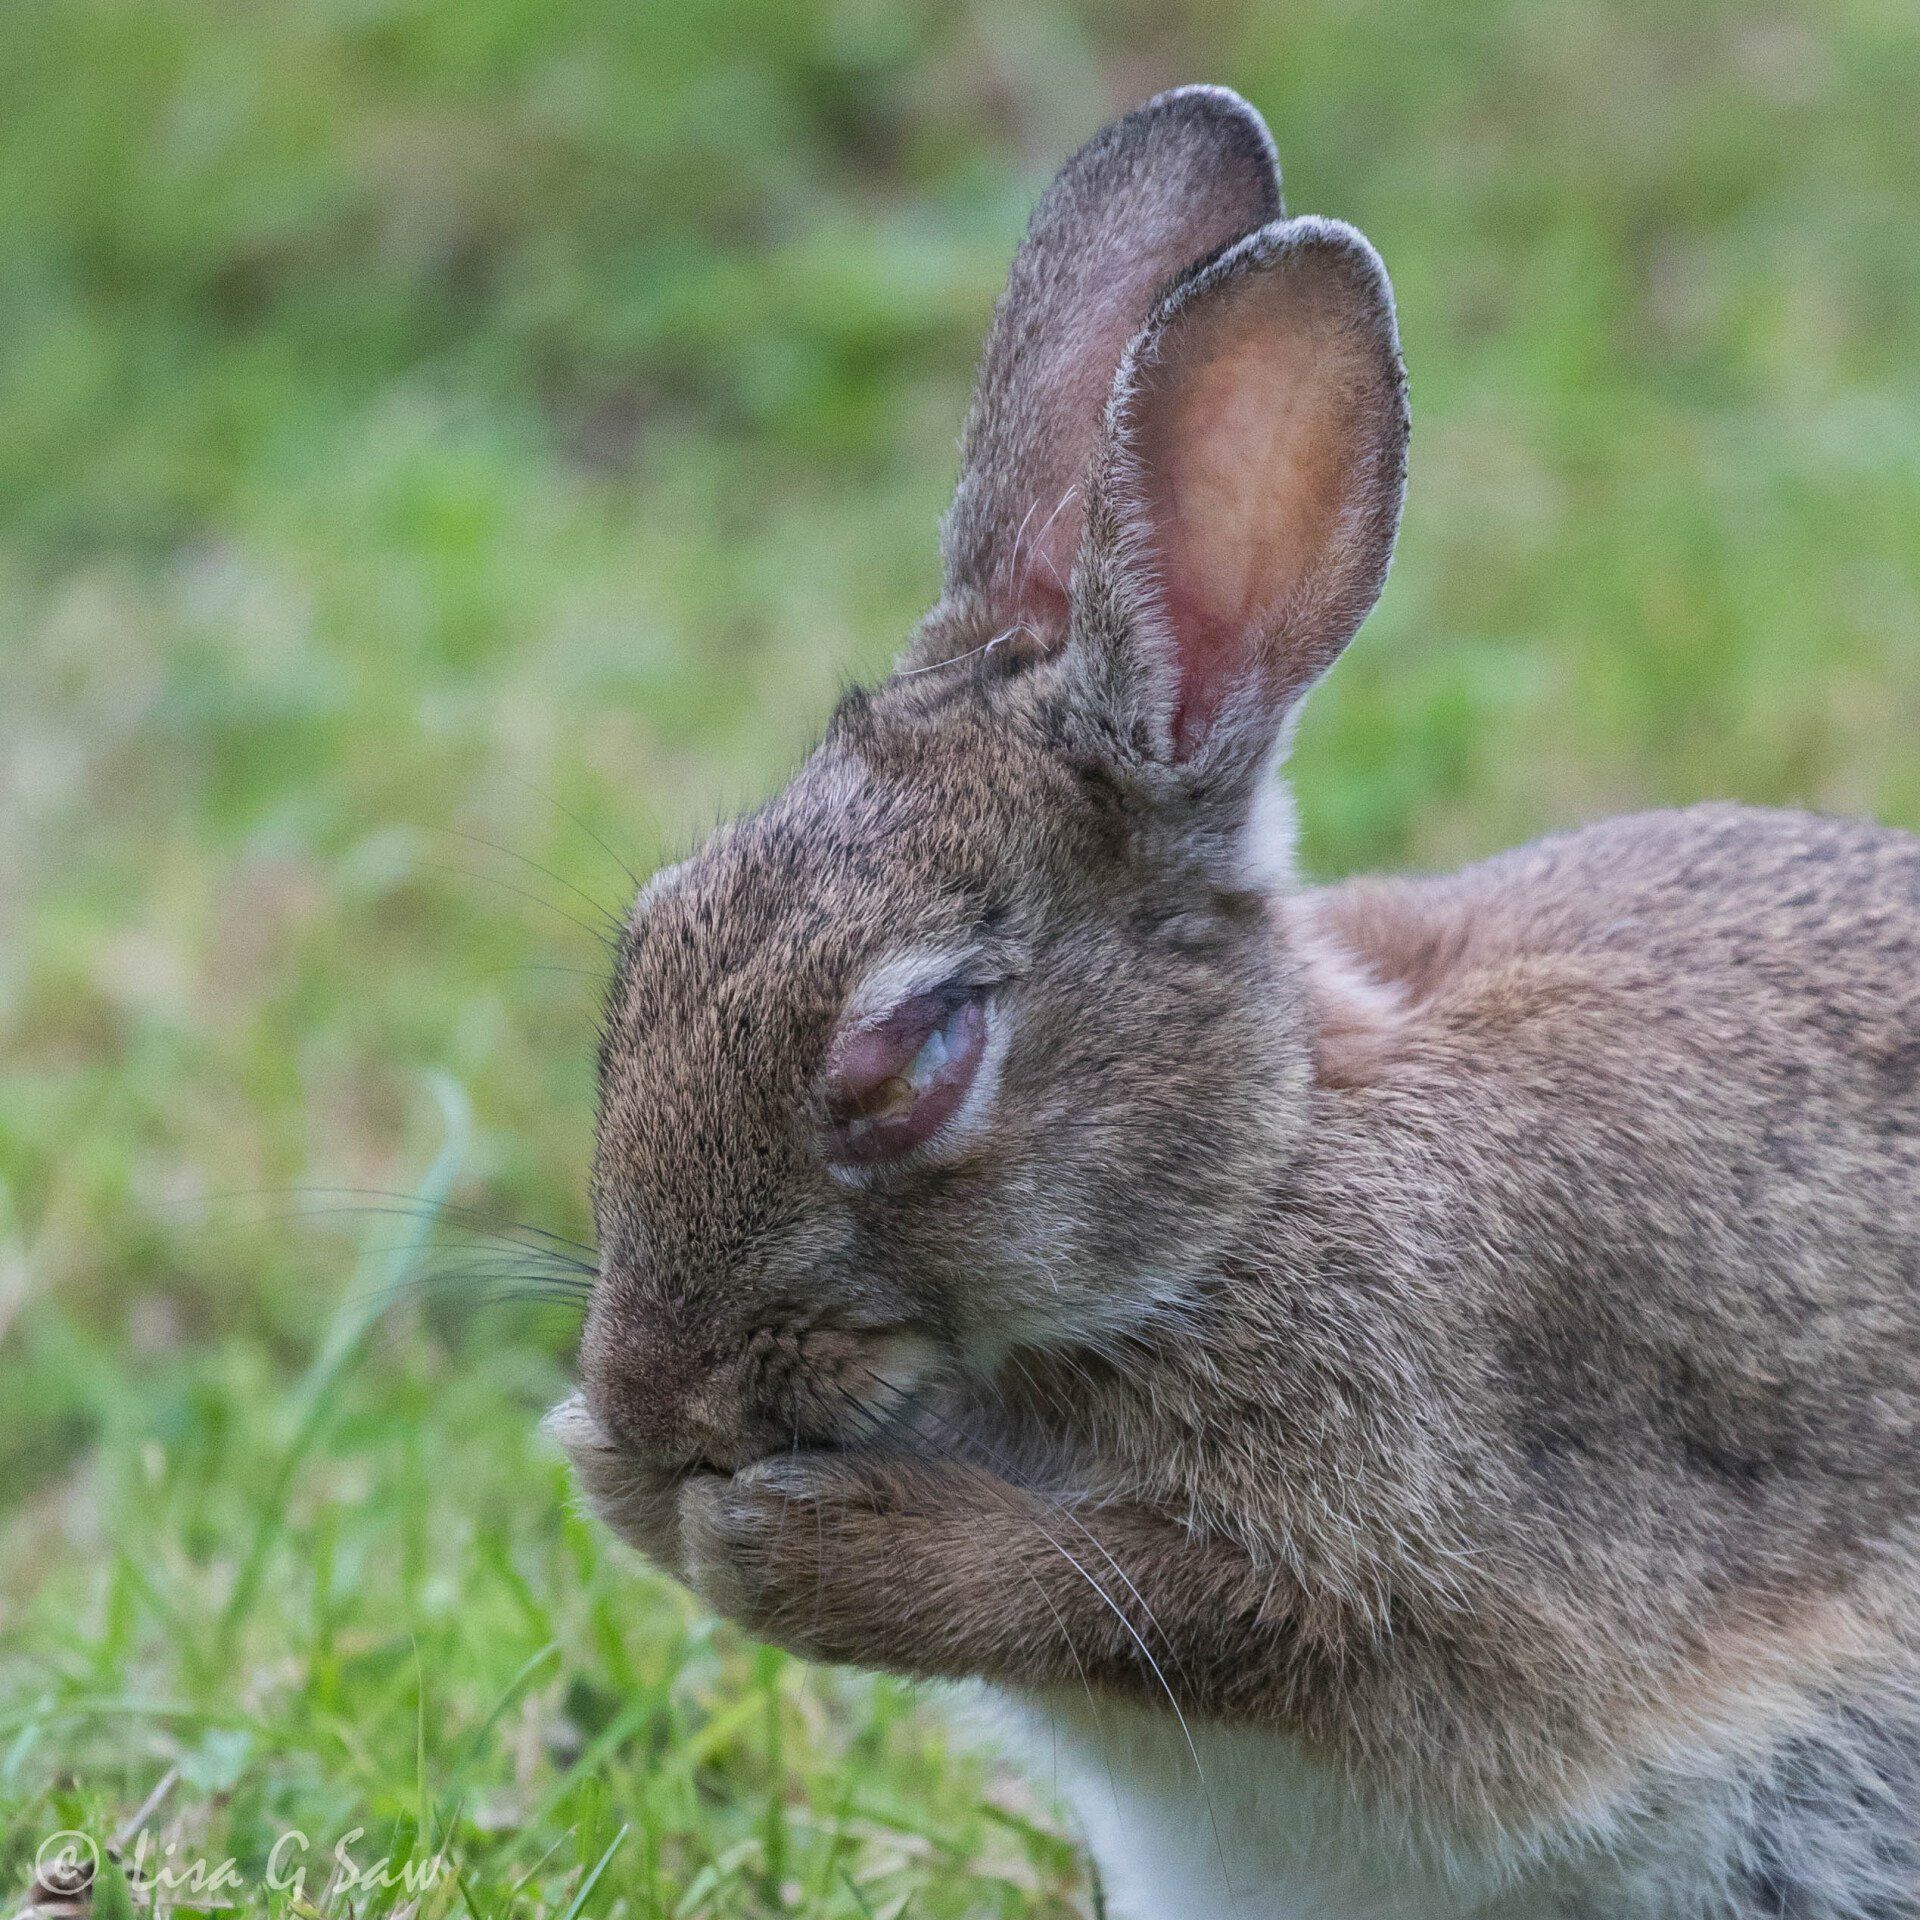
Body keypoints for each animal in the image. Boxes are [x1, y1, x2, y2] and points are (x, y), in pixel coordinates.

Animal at [547, 85, 1920, 1919]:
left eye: (915, 1060)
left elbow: (1161, 1603)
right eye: (650, 948)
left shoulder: (1428, 1569)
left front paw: (774, 1537)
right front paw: (619, 1477)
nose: (642, 1396)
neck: (1258, 1183)